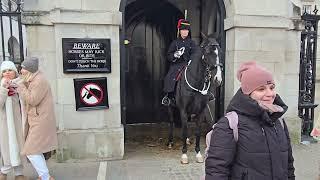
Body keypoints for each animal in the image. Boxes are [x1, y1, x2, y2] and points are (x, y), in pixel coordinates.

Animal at [168, 34, 222, 163]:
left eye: (220, 51)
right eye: (207, 52)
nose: (218, 79)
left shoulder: (201, 110)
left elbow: (197, 131)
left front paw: (198, 153)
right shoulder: (183, 110)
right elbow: (184, 130)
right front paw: (184, 154)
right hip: (171, 107)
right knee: (172, 122)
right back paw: (170, 142)